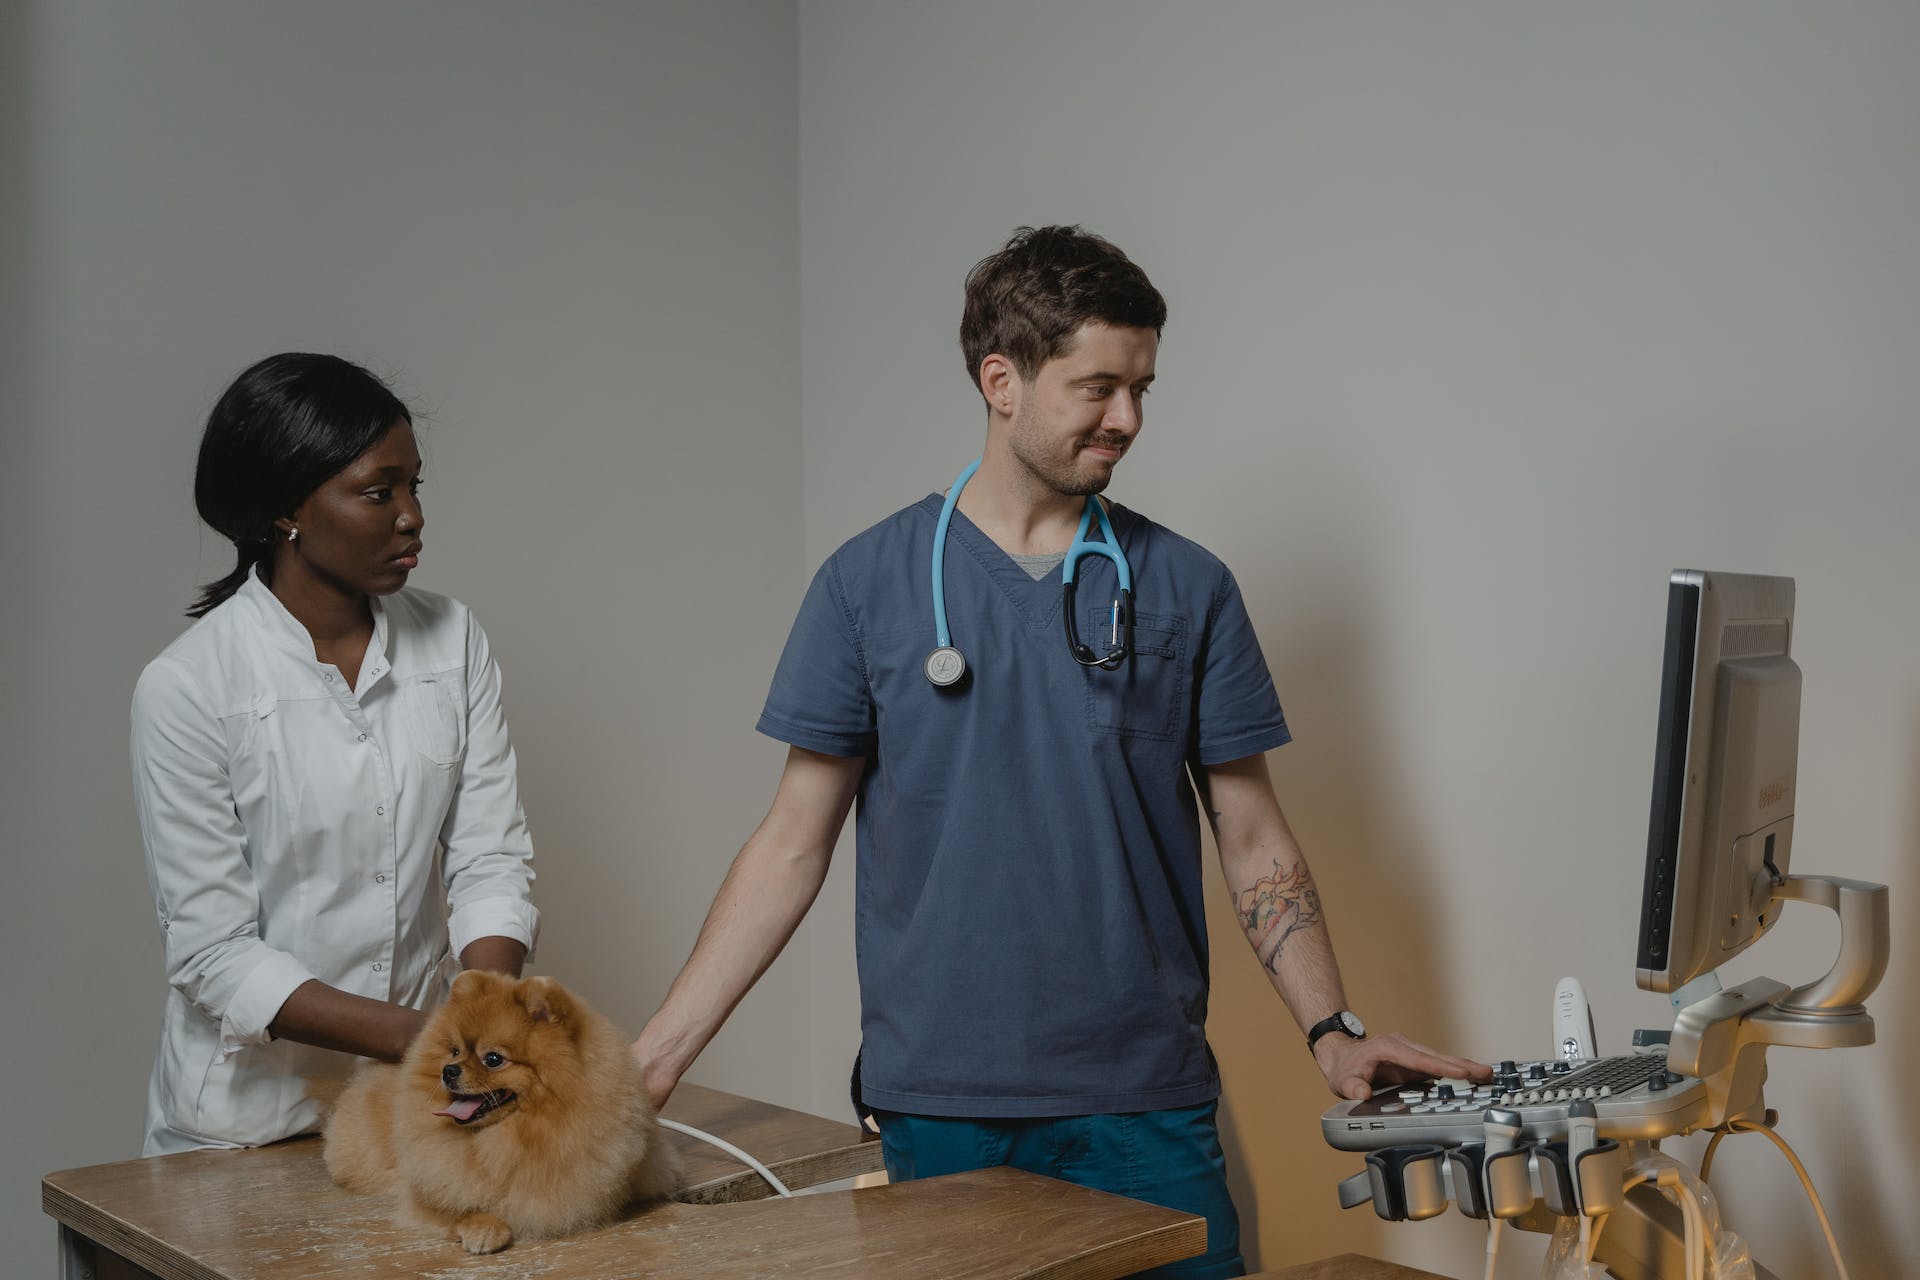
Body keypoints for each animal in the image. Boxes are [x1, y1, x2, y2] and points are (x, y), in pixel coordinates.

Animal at [314, 971, 675, 1251]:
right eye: (455, 1051)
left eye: (493, 1059)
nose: (448, 1070)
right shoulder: (424, 1188)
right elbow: (457, 1201)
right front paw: (484, 1227)